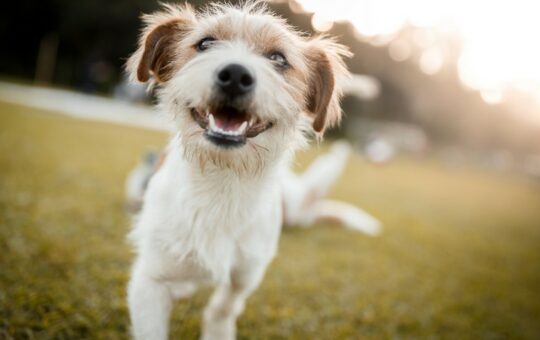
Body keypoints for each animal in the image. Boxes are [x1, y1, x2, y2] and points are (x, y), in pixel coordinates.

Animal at [125, 1, 380, 338]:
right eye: (205, 44)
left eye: (278, 58)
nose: (234, 74)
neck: (222, 180)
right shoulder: (150, 279)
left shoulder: (248, 270)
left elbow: (225, 304)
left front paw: (218, 329)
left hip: (294, 206)